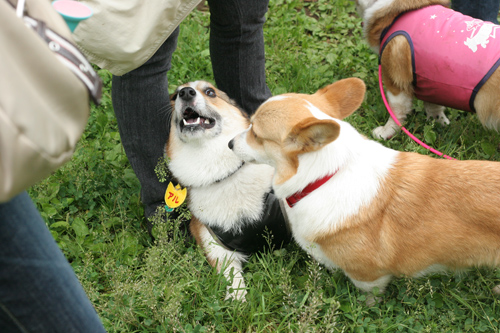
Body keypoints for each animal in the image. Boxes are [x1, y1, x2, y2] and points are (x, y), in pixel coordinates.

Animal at [166, 81, 292, 300]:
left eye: (210, 91)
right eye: (174, 96)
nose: (186, 93)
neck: (223, 174)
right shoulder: (217, 248)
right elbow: (233, 282)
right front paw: (238, 301)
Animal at [229, 78, 500, 304]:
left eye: (256, 133)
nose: (230, 143)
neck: (325, 177)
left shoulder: (368, 276)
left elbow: (369, 295)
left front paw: (368, 307)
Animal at [354, 0, 500, 139]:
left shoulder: (395, 83)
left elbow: (396, 112)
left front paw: (386, 132)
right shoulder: (432, 84)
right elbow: (434, 107)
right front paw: (439, 123)